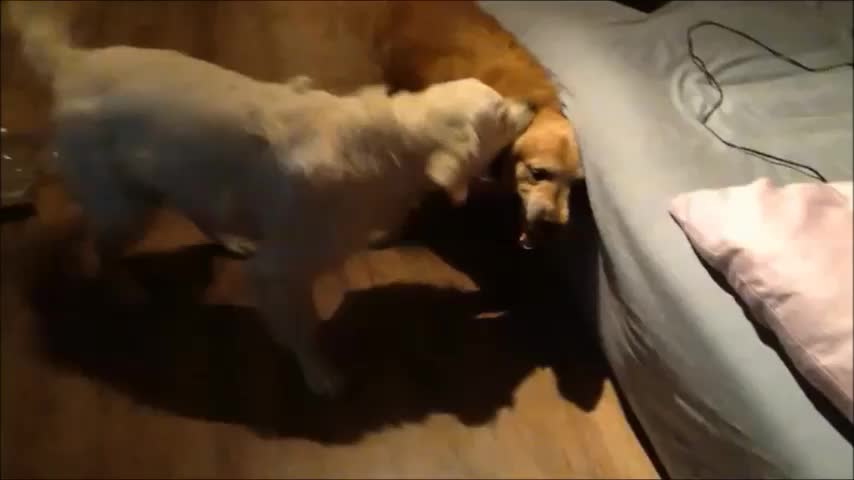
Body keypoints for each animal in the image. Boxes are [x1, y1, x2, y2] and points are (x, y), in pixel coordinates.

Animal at [10, 1, 536, 396]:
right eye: (500, 112)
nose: (532, 102)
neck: (388, 141)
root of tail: (73, 62)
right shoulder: (281, 269)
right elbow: (301, 328)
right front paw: (320, 374)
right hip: (126, 207)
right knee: (100, 248)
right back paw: (124, 288)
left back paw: (231, 241)